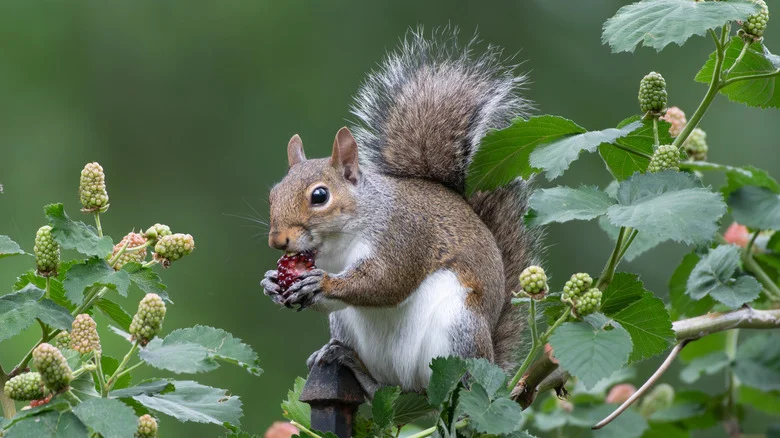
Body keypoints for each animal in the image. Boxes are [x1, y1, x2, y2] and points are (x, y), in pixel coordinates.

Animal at [262, 30, 539, 396]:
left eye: (320, 196)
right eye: (272, 194)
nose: (278, 241)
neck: (339, 243)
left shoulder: (404, 236)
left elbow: (386, 282)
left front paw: (323, 282)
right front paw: (271, 282)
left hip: (459, 329)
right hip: (350, 331)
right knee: (379, 389)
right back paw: (345, 360)